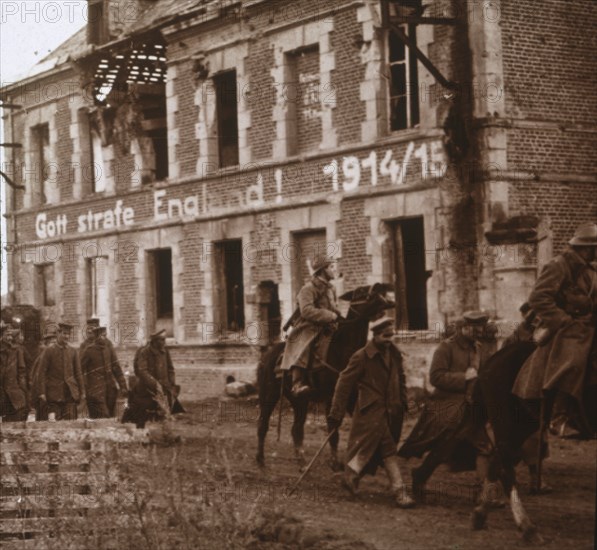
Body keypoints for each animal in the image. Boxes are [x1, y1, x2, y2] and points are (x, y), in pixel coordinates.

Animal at [254, 284, 394, 470]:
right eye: (362, 292)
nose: (388, 298)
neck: (342, 348)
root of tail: (266, 356)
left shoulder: (352, 397)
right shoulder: (331, 398)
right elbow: (333, 429)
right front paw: (335, 463)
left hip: (300, 401)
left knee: (296, 429)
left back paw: (302, 462)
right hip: (269, 395)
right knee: (263, 424)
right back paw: (261, 460)